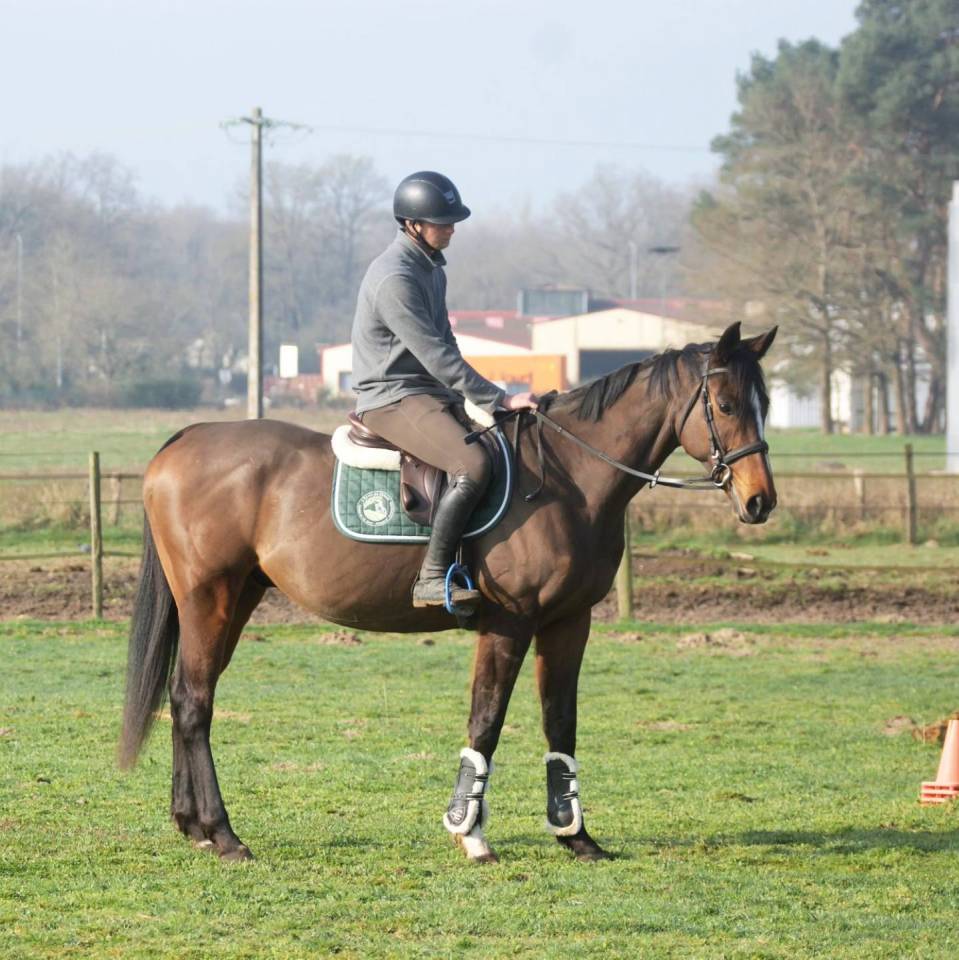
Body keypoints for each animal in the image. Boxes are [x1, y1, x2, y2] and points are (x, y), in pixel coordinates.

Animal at [119, 321, 777, 864]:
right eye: (724, 404)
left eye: (765, 404)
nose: (759, 501)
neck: (568, 476)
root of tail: (185, 439)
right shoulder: (508, 624)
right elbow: (486, 721)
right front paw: (470, 832)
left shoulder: (569, 622)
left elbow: (560, 722)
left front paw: (576, 836)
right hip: (209, 598)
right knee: (195, 701)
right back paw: (223, 834)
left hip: (235, 598)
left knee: (186, 696)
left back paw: (194, 826)